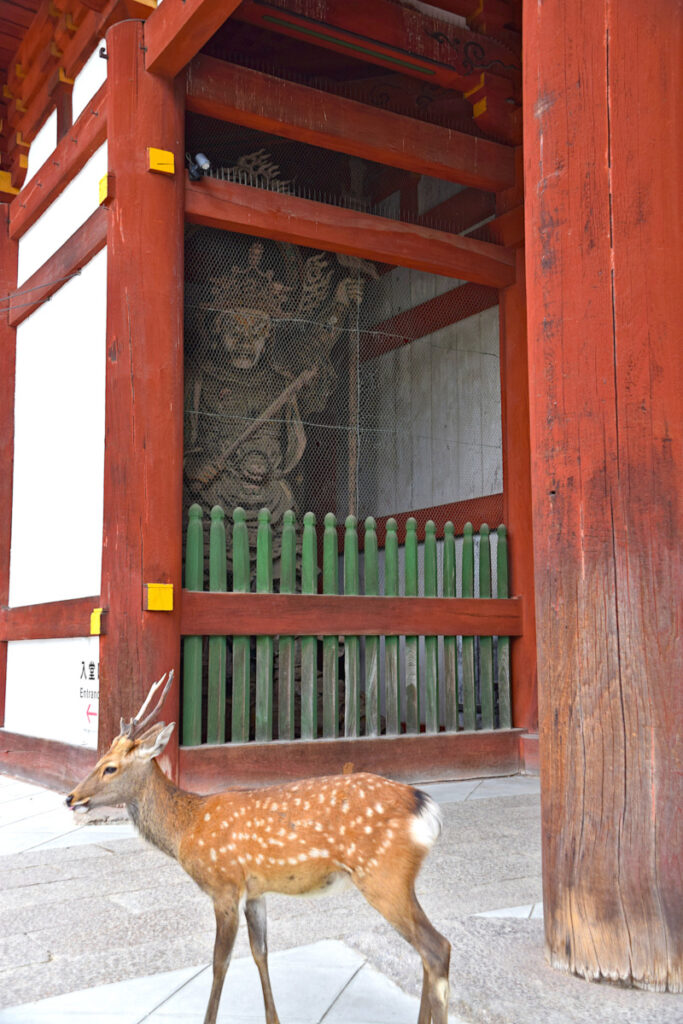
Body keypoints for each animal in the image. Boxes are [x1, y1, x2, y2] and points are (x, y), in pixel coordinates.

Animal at [66, 671, 451, 1024]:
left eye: (110, 767)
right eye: (99, 759)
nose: (71, 797)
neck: (186, 828)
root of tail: (426, 807)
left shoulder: (224, 884)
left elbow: (219, 962)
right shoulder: (254, 891)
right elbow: (260, 952)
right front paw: (273, 1019)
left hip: (381, 875)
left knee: (436, 948)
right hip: (397, 879)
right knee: (428, 950)